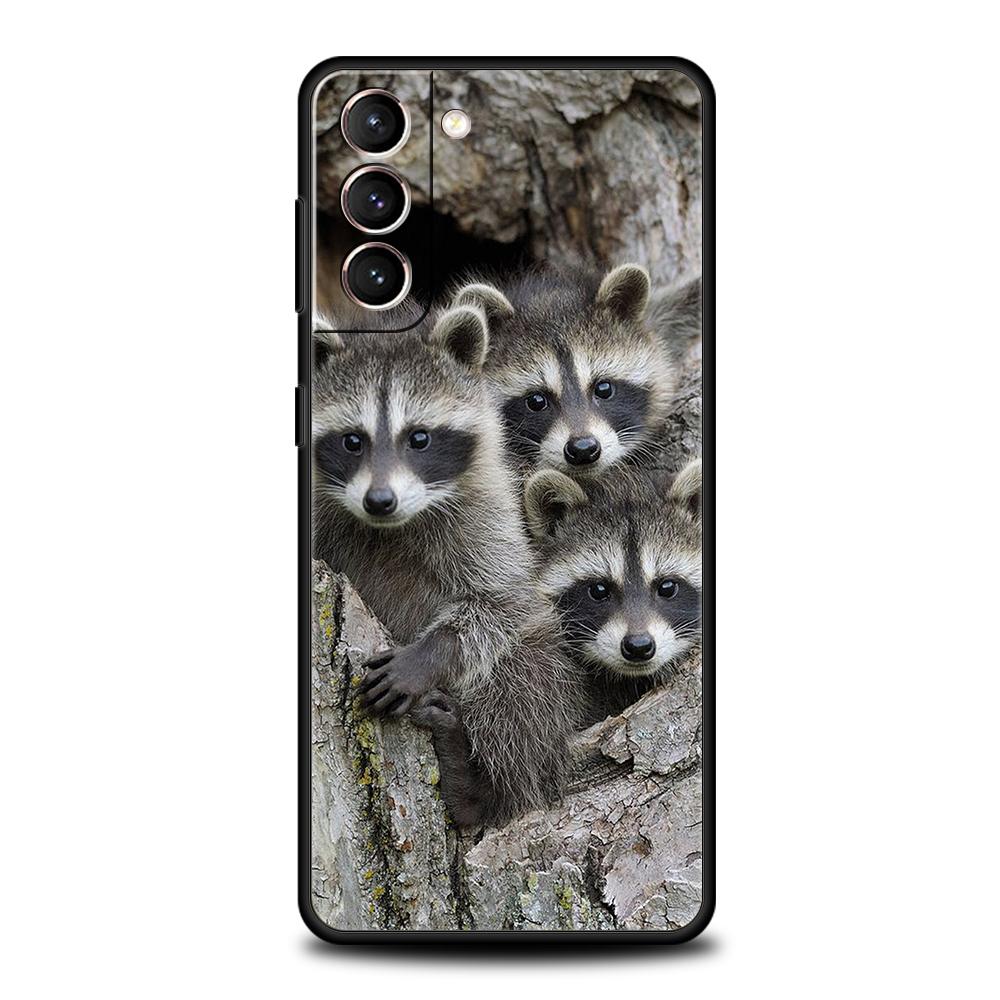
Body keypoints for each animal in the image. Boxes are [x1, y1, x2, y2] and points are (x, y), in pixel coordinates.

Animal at [312, 303, 580, 826]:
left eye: (419, 437)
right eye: (352, 440)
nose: (380, 500)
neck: (391, 524)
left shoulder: (487, 509)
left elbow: (503, 601)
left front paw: (425, 656)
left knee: (519, 683)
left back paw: (479, 789)